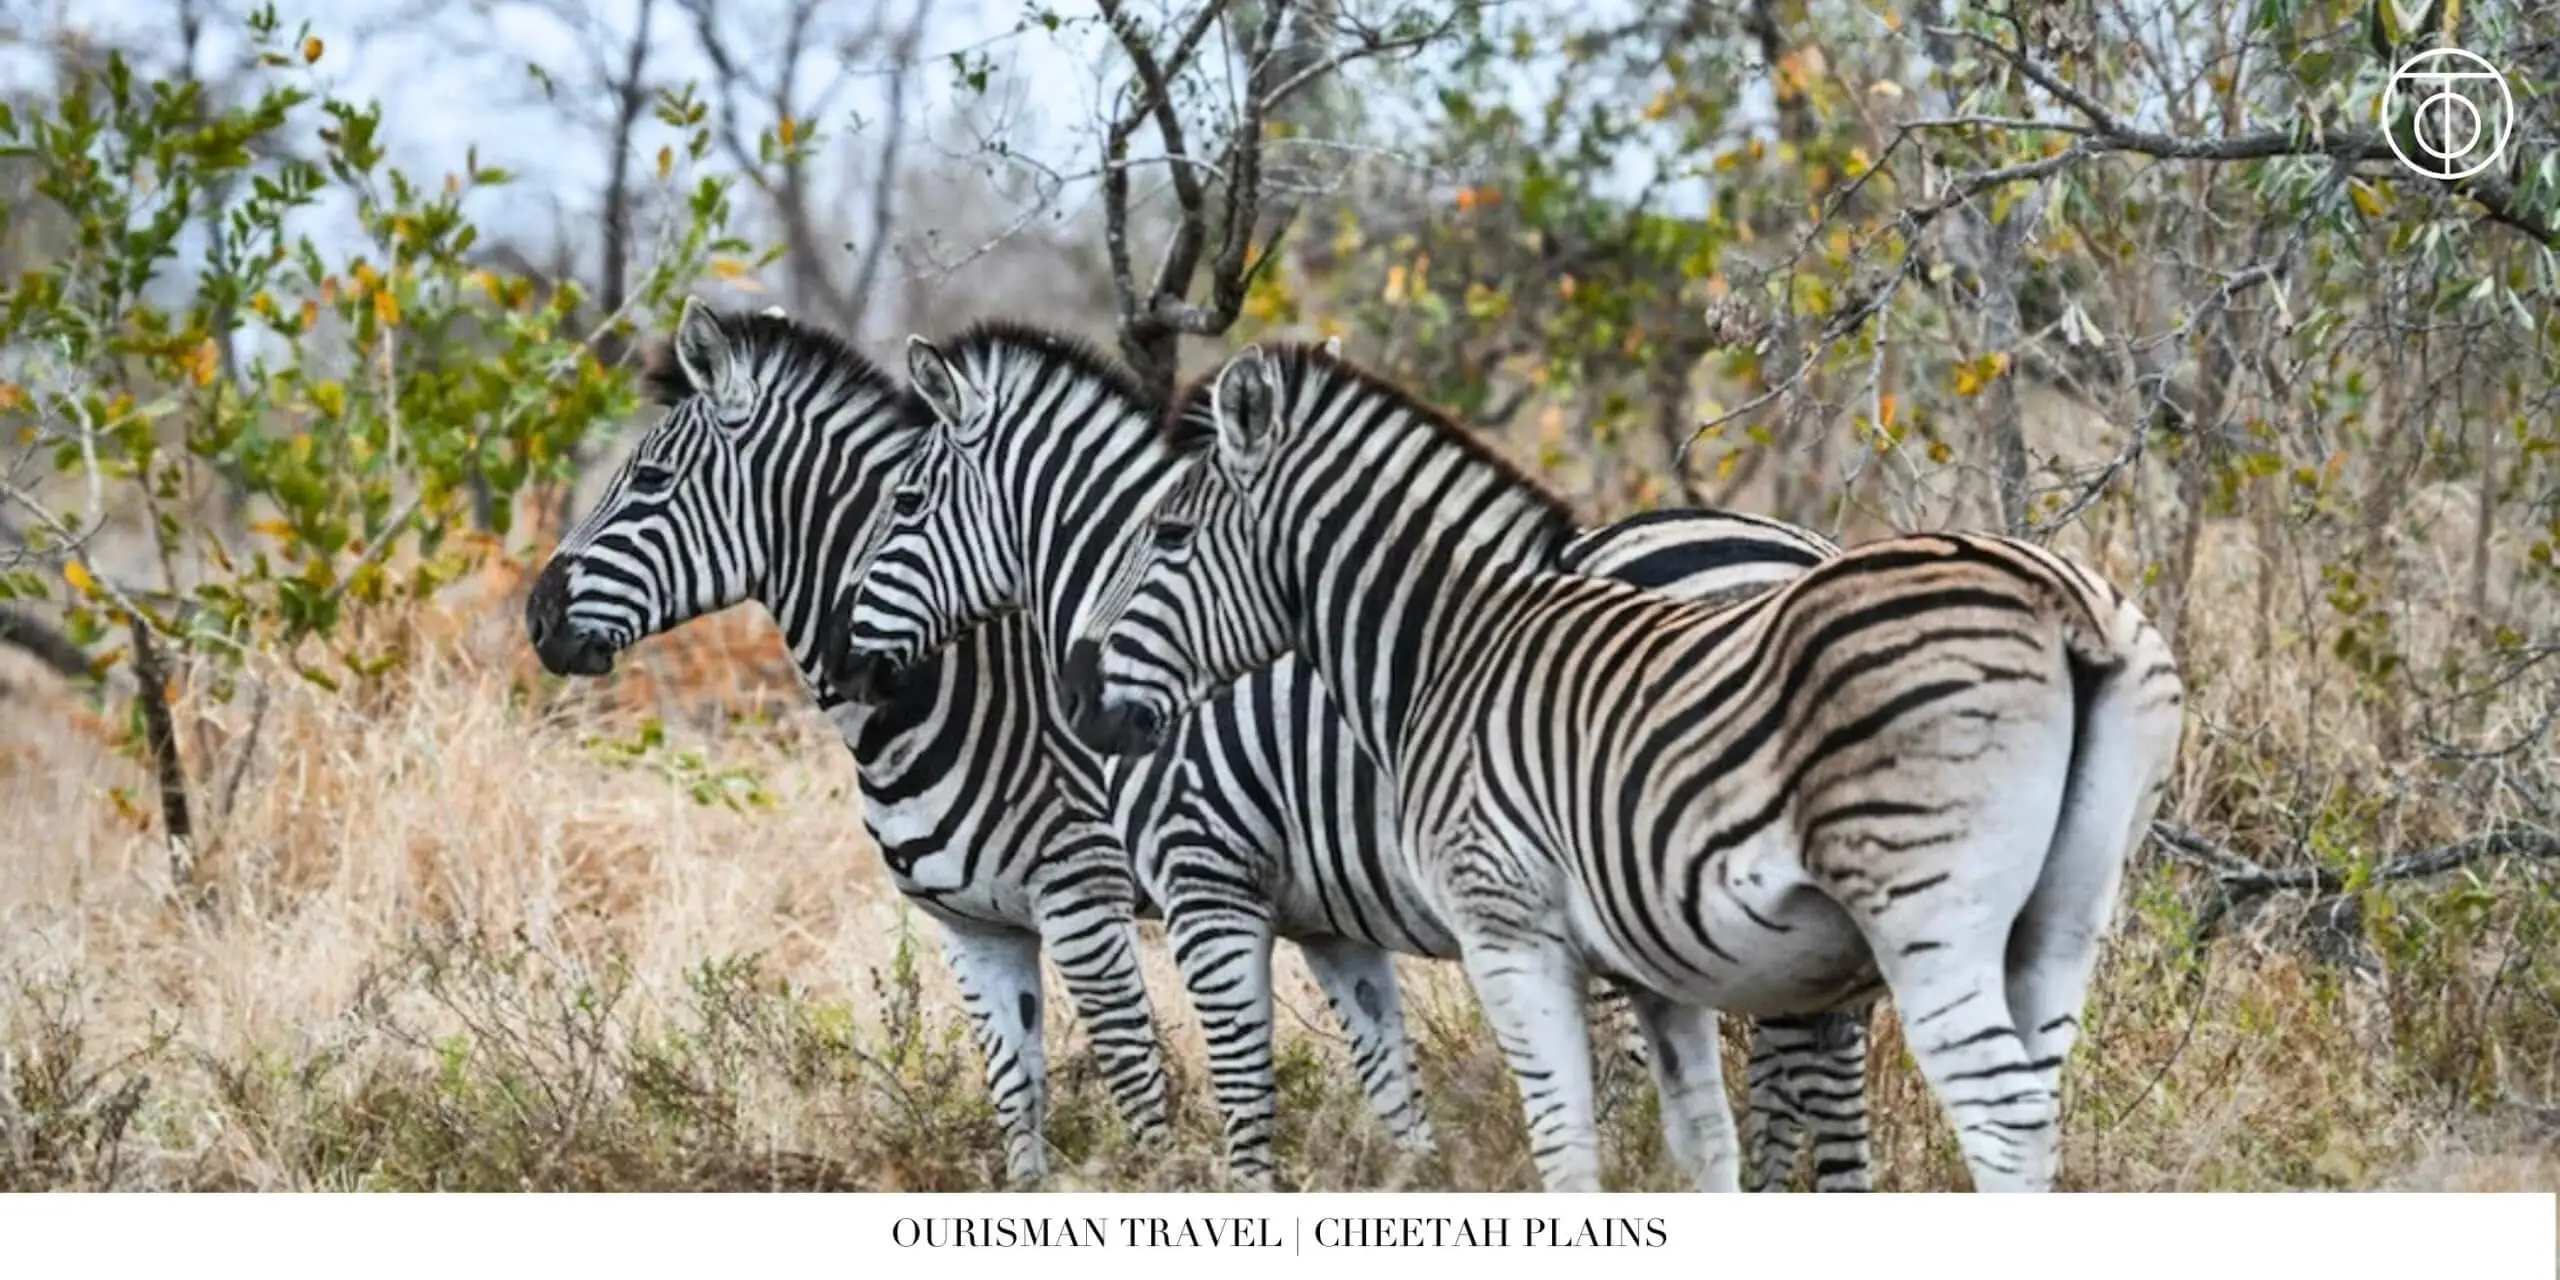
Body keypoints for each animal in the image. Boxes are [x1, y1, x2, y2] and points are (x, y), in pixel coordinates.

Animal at [823, 322, 1875, 1191]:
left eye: (903, 502)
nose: (841, 665)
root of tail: (1811, 545)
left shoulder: (1203, 885)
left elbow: (1242, 1103)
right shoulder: (1328, 919)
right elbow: (1394, 1098)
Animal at [1067, 343, 2186, 1193]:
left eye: (1167, 533)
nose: (1079, 699)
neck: (1448, 650)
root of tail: (2060, 598)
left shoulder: (1500, 927)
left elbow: (1565, 1150)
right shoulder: (1650, 962)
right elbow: (1703, 1147)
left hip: (1926, 912)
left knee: (2000, 1119)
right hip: (2062, 916)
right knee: (2029, 1101)